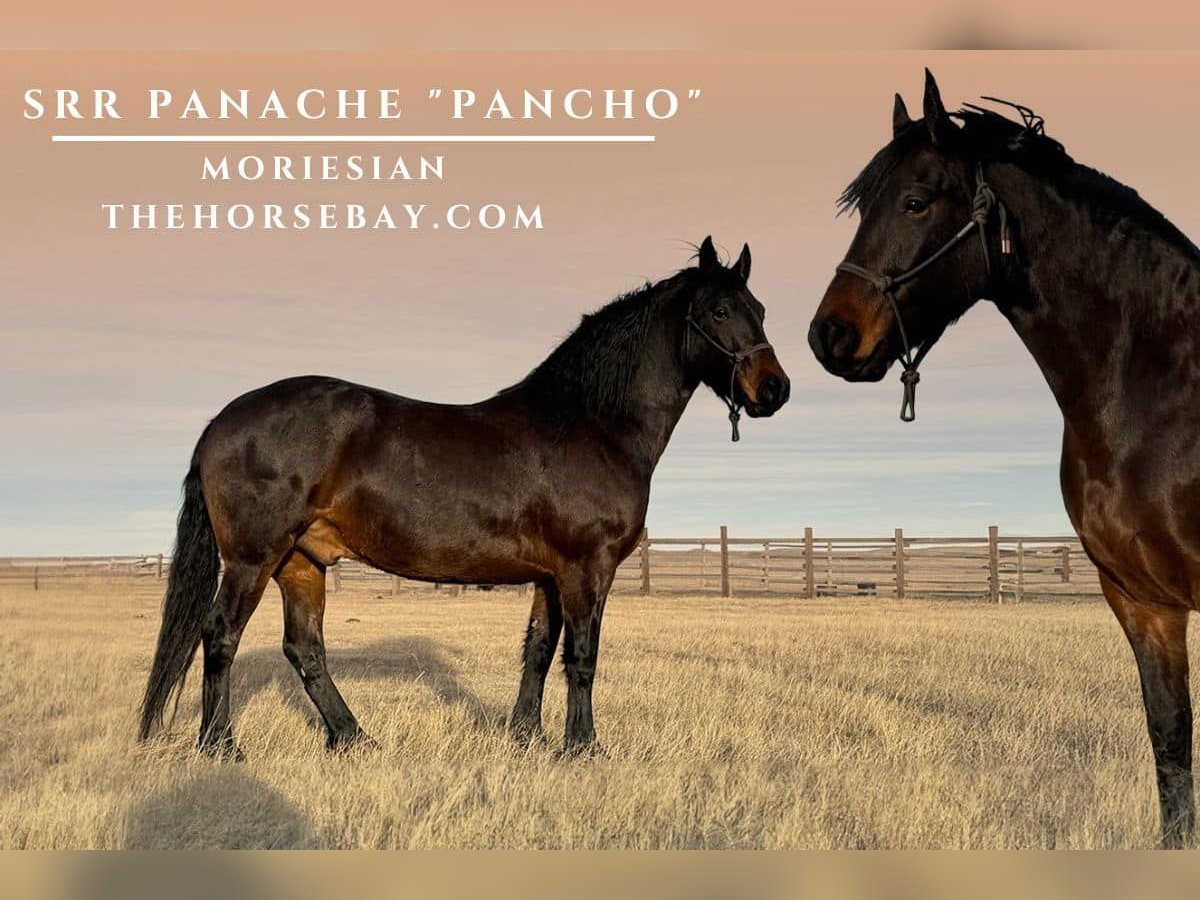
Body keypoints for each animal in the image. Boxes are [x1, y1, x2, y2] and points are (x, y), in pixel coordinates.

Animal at [139, 236, 790, 757]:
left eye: (760, 310)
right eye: (719, 310)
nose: (775, 390)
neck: (589, 424)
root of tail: (222, 421)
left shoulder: (550, 575)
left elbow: (538, 650)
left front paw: (526, 738)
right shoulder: (588, 567)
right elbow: (582, 657)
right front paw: (583, 749)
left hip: (302, 561)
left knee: (305, 650)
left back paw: (353, 738)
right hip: (255, 558)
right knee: (219, 635)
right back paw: (221, 747)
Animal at [808, 69, 1200, 847]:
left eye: (916, 200)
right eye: (861, 204)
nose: (829, 336)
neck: (1156, 382)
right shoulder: (1142, 598)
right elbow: (1170, 741)